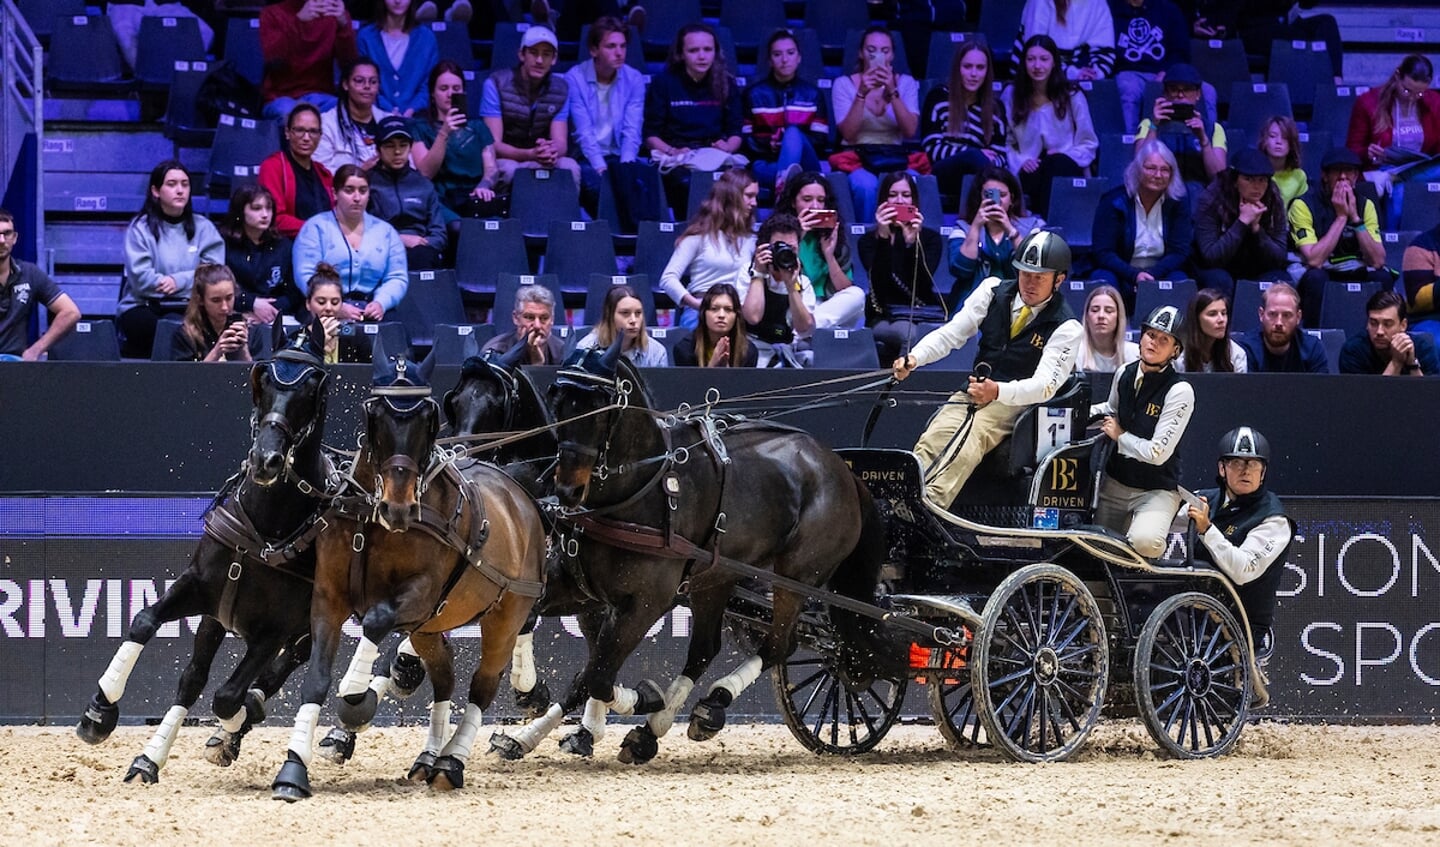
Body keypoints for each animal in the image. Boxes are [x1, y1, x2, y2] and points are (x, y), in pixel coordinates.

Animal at [77, 322, 347, 783]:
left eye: (313, 388)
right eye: (264, 378)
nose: (266, 460)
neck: (264, 529)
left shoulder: (273, 630)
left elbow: (227, 697)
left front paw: (233, 725)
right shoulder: (201, 592)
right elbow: (147, 625)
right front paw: (101, 711)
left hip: (308, 625)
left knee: (278, 669)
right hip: (219, 619)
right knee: (198, 677)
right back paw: (154, 754)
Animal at [269, 344, 544, 800]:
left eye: (427, 418)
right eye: (376, 416)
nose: (399, 506)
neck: (372, 521)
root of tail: (518, 495)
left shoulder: (419, 596)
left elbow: (376, 621)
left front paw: (356, 698)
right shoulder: (328, 597)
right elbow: (317, 679)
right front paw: (292, 770)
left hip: (505, 615)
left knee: (482, 686)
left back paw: (450, 762)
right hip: (430, 628)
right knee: (446, 678)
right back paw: (429, 757)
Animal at [489, 341, 881, 766]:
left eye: (601, 406)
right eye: (558, 400)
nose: (567, 490)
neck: (641, 492)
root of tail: (843, 470)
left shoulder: (645, 604)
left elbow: (599, 675)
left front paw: (644, 698)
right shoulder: (579, 589)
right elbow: (537, 625)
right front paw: (529, 698)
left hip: (795, 579)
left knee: (780, 645)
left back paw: (706, 707)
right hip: (715, 579)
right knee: (705, 650)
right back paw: (654, 730)